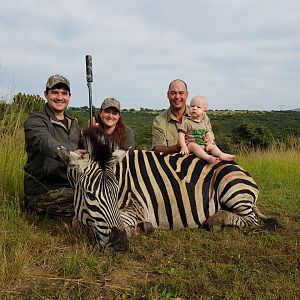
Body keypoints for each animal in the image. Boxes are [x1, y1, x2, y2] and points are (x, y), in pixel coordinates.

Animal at [58, 126, 278, 251]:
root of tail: (241, 170)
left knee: (250, 219)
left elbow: (120, 222)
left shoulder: (139, 207)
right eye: (89, 195)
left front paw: (138, 229)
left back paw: (216, 221)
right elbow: (78, 222)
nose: (120, 244)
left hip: (231, 187)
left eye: (115, 191)